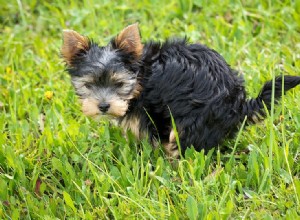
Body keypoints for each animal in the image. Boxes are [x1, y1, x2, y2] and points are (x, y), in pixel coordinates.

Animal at [61, 23, 300, 158]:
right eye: (89, 85)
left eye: (119, 84)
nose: (103, 106)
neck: (141, 77)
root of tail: (239, 104)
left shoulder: (151, 113)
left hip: (194, 120)